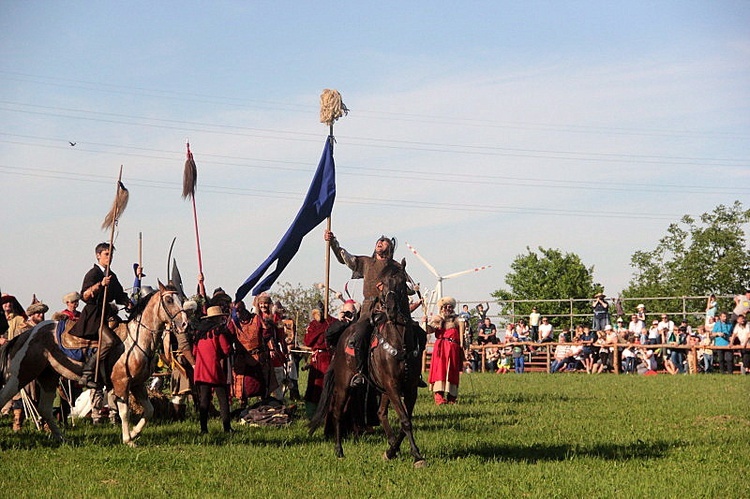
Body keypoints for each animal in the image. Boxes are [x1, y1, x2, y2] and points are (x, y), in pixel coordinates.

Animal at [0, 284, 187, 448]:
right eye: (169, 299)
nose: (185, 324)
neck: (135, 340)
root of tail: (27, 334)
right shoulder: (121, 384)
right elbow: (124, 412)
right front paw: (128, 440)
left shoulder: (138, 385)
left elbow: (149, 410)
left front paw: (134, 433)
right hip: (21, 375)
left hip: (48, 377)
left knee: (45, 409)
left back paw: (62, 438)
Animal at [310, 260, 426, 466]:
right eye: (383, 284)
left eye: (401, 282)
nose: (391, 309)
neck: (400, 340)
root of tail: (343, 337)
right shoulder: (392, 385)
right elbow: (405, 420)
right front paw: (416, 455)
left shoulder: (409, 388)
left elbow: (405, 420)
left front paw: (393, 451)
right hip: (345, 385)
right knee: (337, 412)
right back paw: (339, 450)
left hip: (383, 389)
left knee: (380, 413)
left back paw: (390, 446)